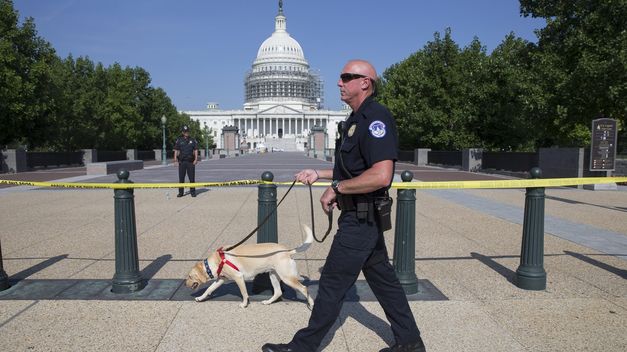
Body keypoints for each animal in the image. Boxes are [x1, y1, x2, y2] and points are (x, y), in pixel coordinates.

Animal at [185, 226, 314, 308]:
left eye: (190, 276)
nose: (185, 285)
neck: (217, 260)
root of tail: (288, 251)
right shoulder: (221, 279)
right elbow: (209, 289)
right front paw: (200, 298)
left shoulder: (238, 277)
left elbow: (244, 293)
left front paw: (244, 304)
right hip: (273, 275)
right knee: (278, 292)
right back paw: (268, 302)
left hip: (286, 277)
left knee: (304, 288)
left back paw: (311, 304)